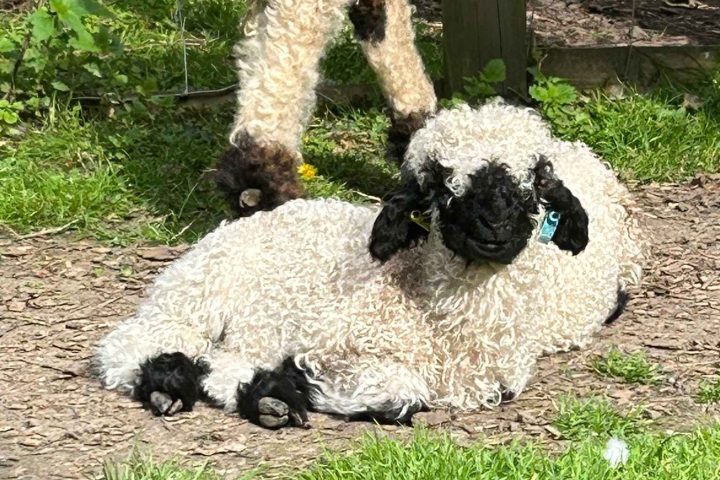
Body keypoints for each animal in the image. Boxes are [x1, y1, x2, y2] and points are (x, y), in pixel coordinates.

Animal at [95, 101, 644, 429]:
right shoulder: (314, 332)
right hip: (201, 291)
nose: (493, 229)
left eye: (535, 183)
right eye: (439, 184)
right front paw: (286, 386)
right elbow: (401, 393)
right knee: (130, 344)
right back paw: (171, 383)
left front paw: (283, 387)